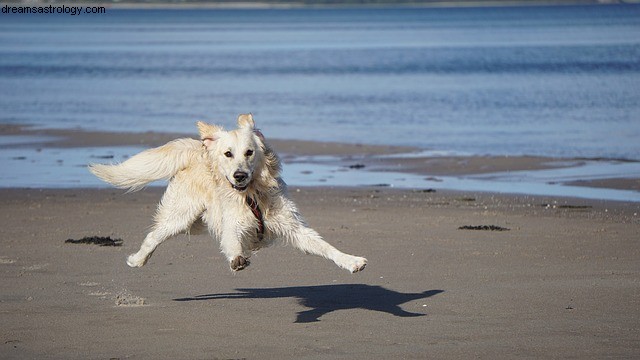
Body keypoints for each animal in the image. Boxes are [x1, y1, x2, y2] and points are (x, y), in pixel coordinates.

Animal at [91, 114, 370, 272]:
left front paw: (351, 261)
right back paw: (137, 260)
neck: (252, 196)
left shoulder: (292, 227)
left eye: (249, 152)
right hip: (180, 216)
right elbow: (233, 242)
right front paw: (237, 258)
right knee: (153, 236)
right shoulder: (232, 224)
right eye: (228, 154)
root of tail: (198, 149)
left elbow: (324, 246)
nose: (239, 175)